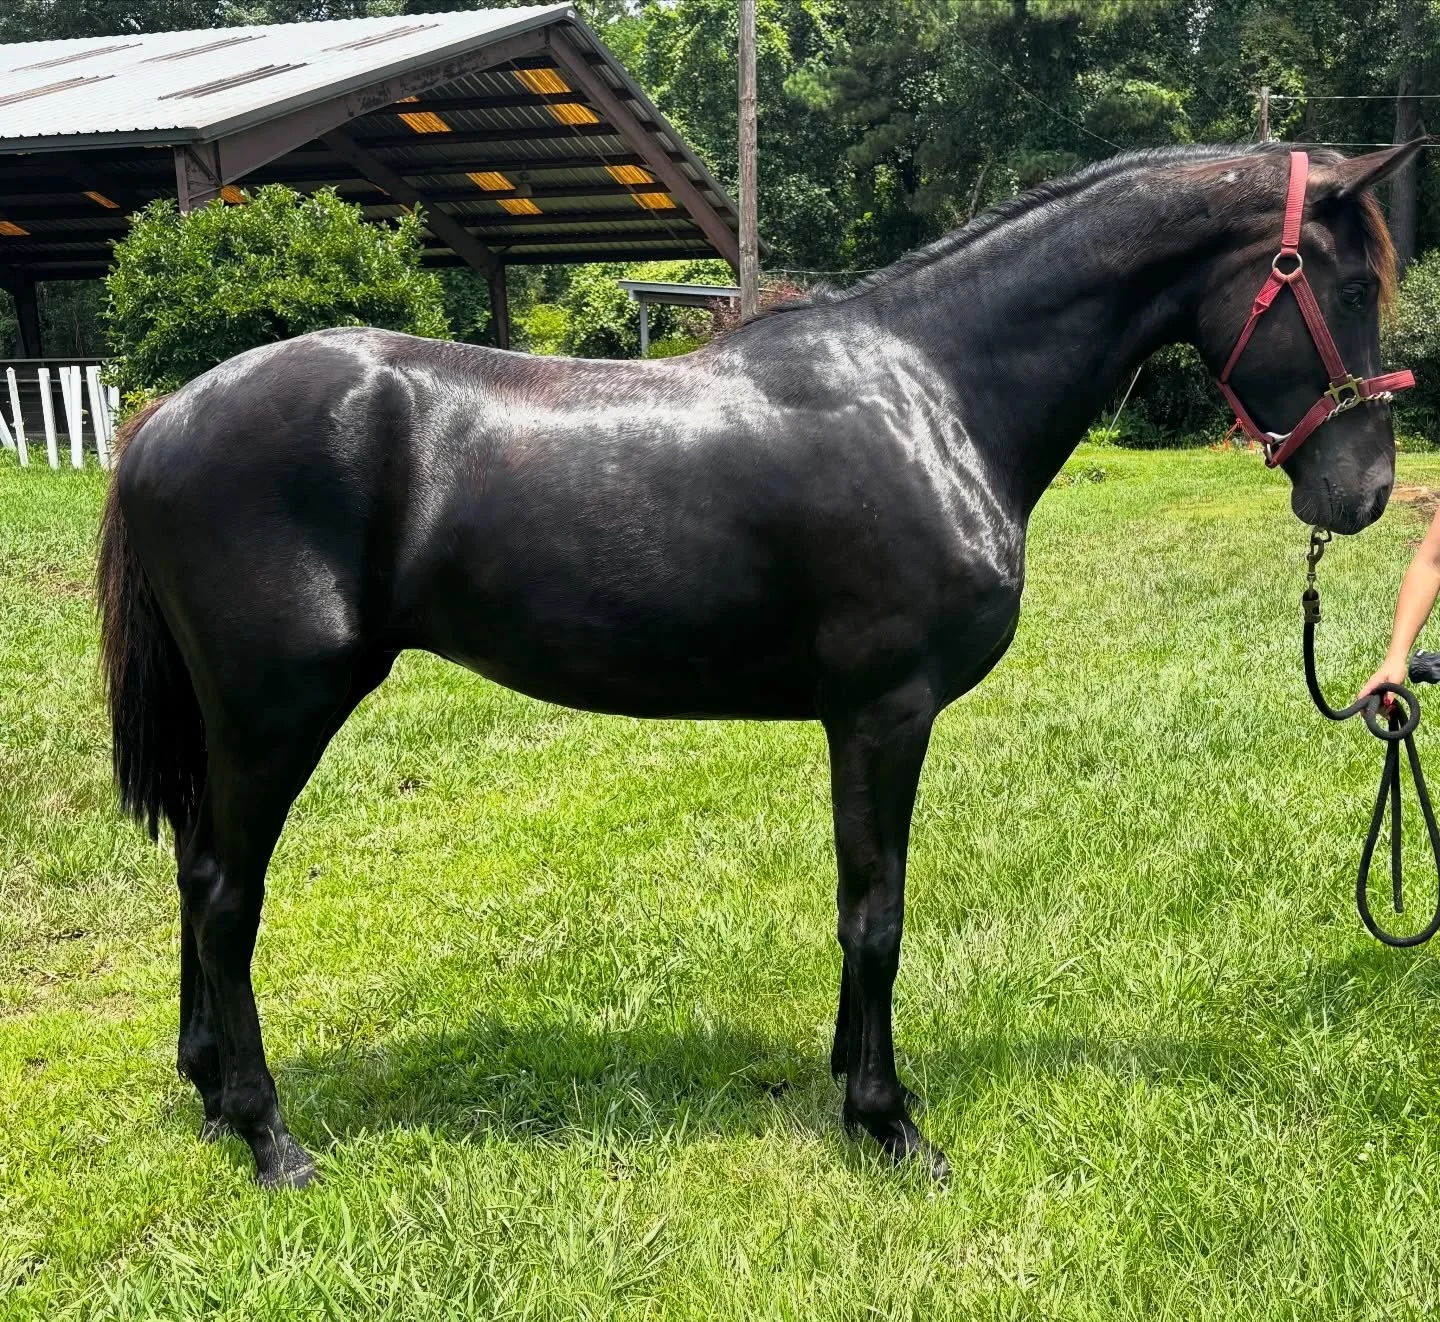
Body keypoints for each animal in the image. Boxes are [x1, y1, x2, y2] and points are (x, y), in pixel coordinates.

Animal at [98, 141, 1420, 1188]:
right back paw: (270, 1136)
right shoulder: (885, 712)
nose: (1362, 490)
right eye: (1348, 284)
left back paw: (211, 1093)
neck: (933, 392)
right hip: (277, 713)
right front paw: (888, 1123)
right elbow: (877, 910)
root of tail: (163, 420)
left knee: (197, 878)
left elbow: (861, 904)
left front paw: (857, 1079)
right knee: (225, 894)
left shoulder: (862, 721)